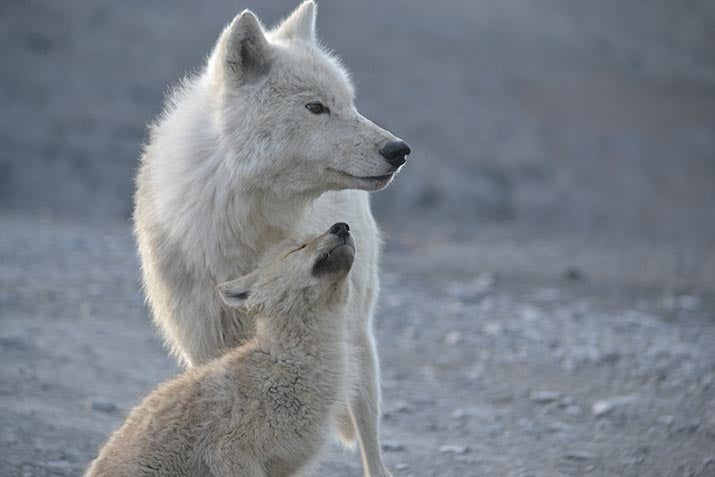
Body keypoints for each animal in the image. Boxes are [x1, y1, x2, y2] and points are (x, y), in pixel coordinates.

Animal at [133, 2, 409, 475]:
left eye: (349, 104)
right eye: (316, 107)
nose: (399, 151)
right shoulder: (205, 344)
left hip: (358, 339)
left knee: (371, 443)